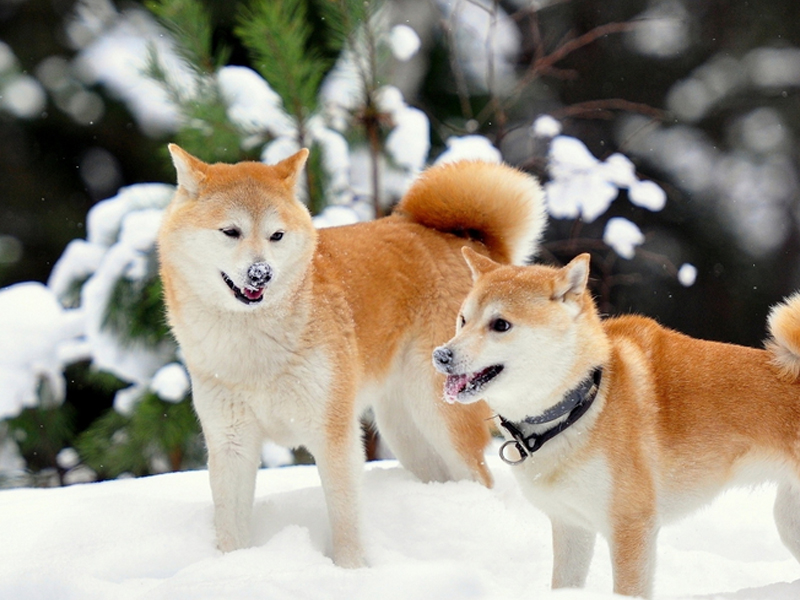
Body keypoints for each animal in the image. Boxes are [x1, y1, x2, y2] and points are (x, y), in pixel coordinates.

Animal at [434, 246, 800, 596]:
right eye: (463, 320)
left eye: (501, 324)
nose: (441, 355)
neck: (580, 403)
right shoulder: (572, 525)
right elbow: (564, 583)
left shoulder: (631, 525)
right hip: (788, 520)